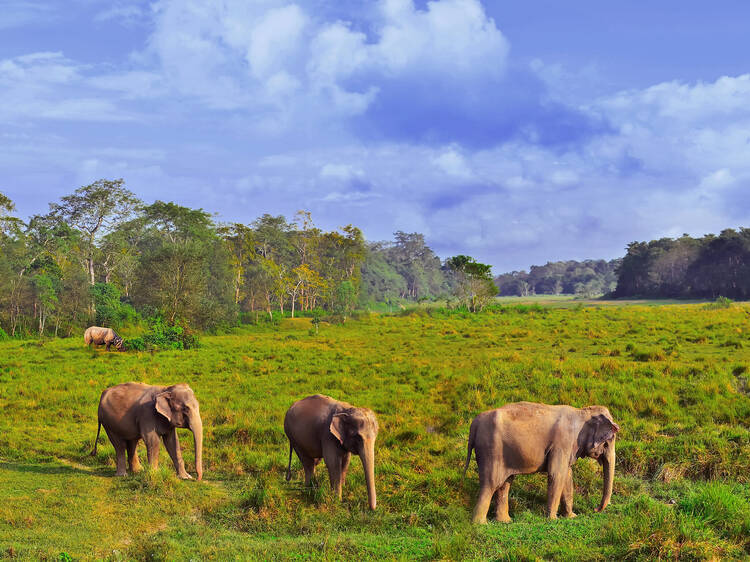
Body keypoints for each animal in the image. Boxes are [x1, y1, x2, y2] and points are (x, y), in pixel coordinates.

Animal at [464, 398, 624, 520]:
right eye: (608, 441)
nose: (595, 509)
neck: (582, 412)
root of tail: (475, 423)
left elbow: (567, 475)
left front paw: (571, 517)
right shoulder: (562, 442)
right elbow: (556, 474)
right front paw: (553, 519)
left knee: (504, 484)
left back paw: (505, 521)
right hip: (491, 450)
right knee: (491, 484)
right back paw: (480, 524)